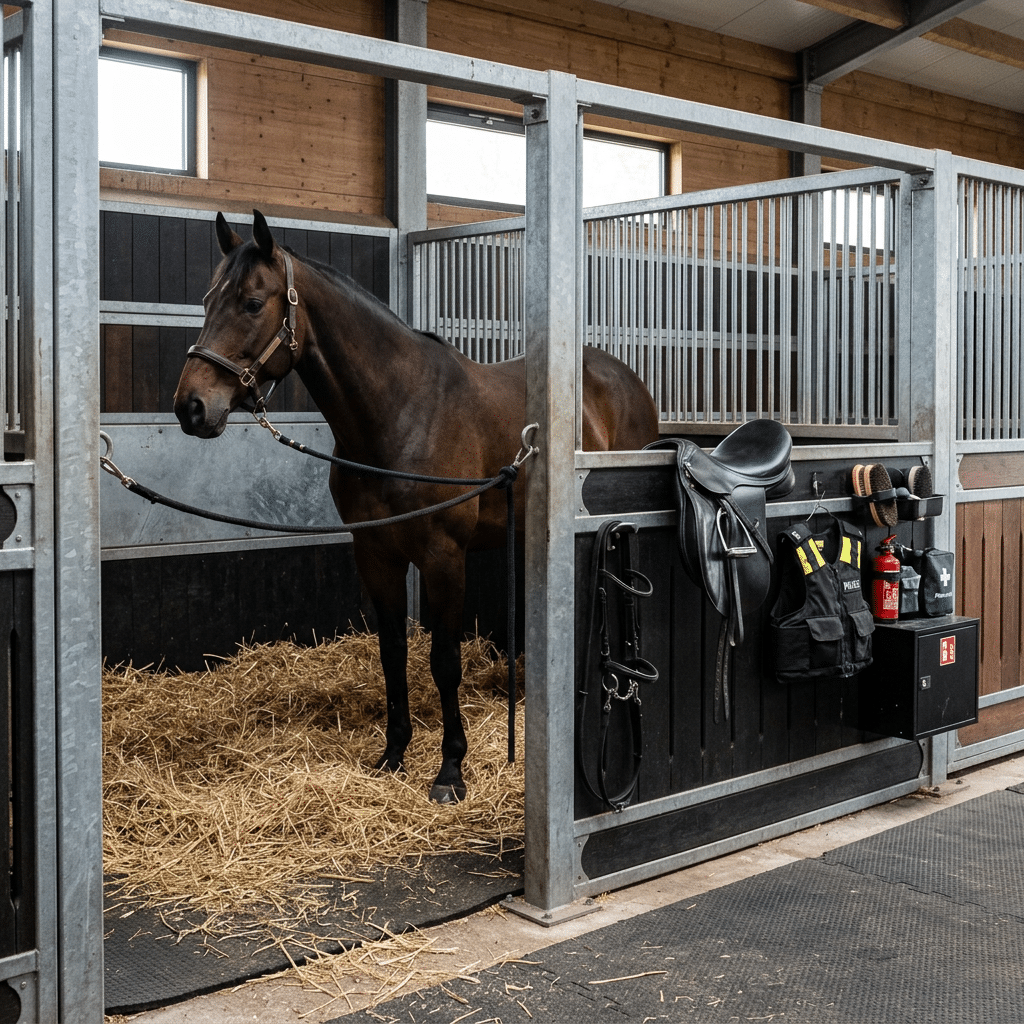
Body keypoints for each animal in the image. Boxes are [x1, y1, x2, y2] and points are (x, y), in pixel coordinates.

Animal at [174, 210, 659, 803]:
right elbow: (392, 654)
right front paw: (393, 755)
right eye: (207, 299)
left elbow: (444, 661)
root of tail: (623, 377)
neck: (402, 413)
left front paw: (451, 771)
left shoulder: (443, 556)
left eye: (251, 302)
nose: (191, 406)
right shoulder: (375, 553)